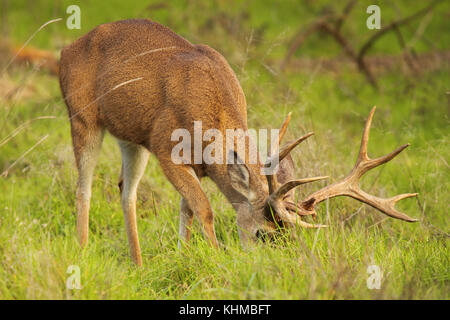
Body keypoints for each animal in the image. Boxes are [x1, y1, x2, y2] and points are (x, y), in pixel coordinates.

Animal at [59, 18, 418, 266]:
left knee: (126, 190)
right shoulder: (165, 148)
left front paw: (185, 256)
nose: (272, 266)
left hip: (131, 137)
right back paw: (82, 251)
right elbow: (204, 208)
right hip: (83, 118)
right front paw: (216, 258)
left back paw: (138, 263)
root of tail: (67, 47)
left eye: (290, 237)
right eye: (264, 234)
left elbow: (187, 208)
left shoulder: (182, 158)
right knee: (83, 187)